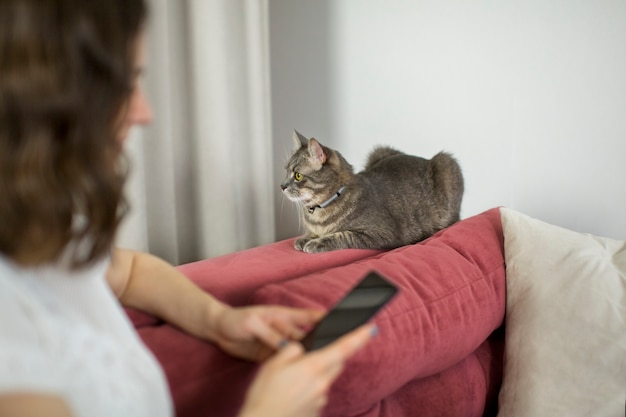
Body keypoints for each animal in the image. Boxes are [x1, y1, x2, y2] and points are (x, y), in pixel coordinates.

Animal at [280, 130, 460, 254]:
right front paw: (306, 238)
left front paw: (317, 242)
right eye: (285, 171)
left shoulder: (381, 233)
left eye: (297, 175)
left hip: (446, 162)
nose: (282, 186)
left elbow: (343, 235)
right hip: (379, 150)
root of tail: (425, 159)